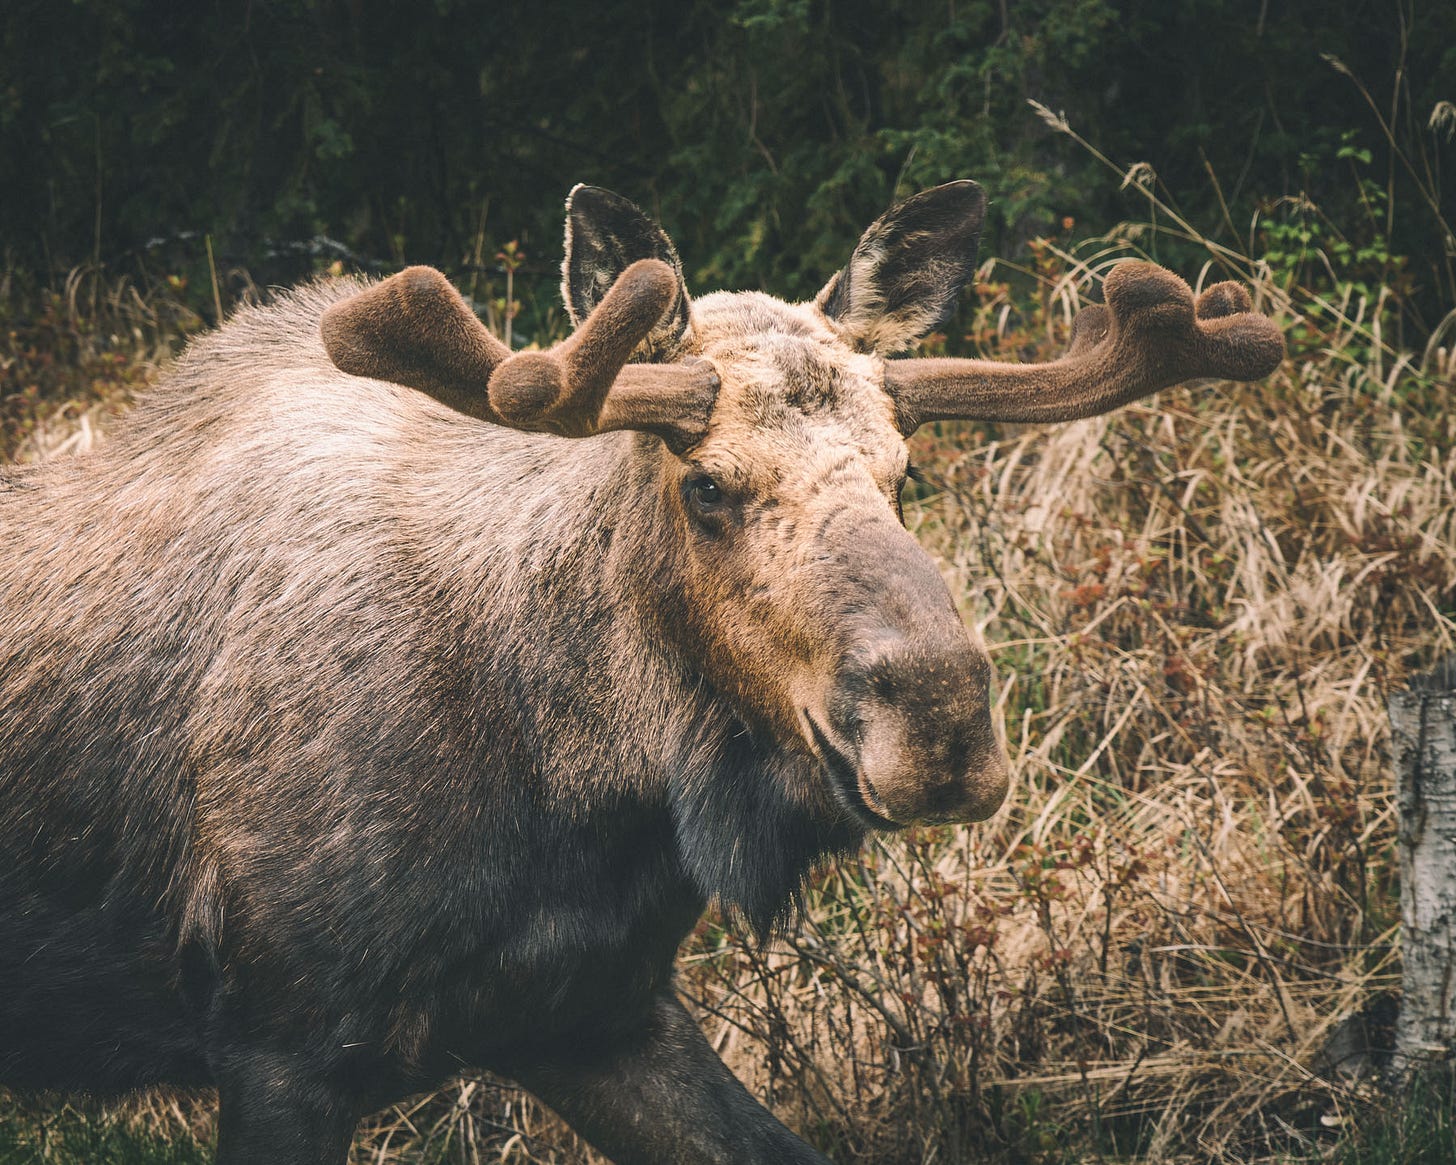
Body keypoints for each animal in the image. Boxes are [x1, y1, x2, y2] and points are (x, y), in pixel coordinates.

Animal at [0, 180, 1283, 1163]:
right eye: (705, 484)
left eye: (903, 470)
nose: (943, 718)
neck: (574, 798)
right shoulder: (279, 1037)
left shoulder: (599, 1013)